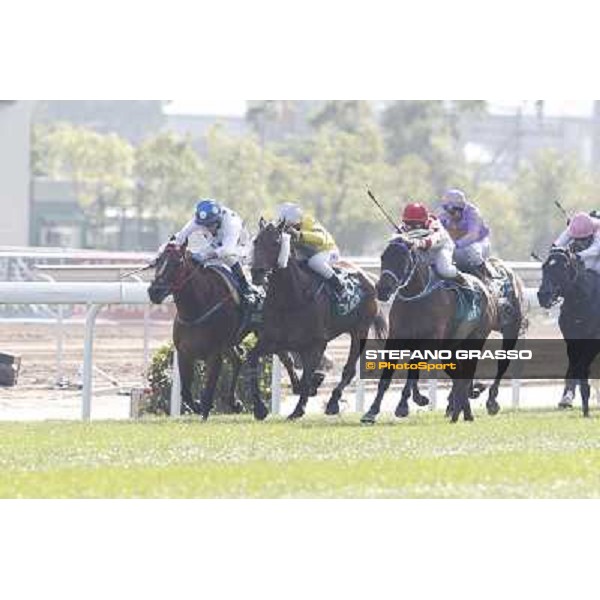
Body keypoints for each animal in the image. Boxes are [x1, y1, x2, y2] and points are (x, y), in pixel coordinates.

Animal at [146, 241, 304, 420]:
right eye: (158, 261)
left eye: (178, 263)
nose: (154, 291)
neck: (196, 309)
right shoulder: (184, 353)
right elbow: (186, 392)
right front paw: (198, 406)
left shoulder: (214, 354)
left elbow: (208, 390)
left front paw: (204, 411)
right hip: (231, 343)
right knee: (239, 359)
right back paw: (236, 403)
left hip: (265, 333)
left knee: (286, 358)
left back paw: (292, 390)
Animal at [250, 218, 386, 420]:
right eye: (256, 241)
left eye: (275, 243)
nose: (256, 273)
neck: (293, 297)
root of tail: (367, 276)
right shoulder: (273, 340)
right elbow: (257, 360)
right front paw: (259, 408)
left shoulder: (316, 343)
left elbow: (307, 375)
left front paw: (298, 409)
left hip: (359, 330)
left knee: (349, 369)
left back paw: (333, 402)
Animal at [360, 237, 496, 424]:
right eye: (383, 257)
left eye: (403, 259)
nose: (383, 290)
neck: (416, 298)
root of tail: (484, 288)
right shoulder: (396, 339)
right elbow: (389, 375)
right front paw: (371, 411)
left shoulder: (431, 341)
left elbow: (413, 367)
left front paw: (404, 405)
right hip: (452, 346)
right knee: (459, 375)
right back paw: (463, 411)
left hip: (476, 338)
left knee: (467, 372)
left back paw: (463, 410)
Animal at [536, 248, 600, 418]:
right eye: (544, 267)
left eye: (563, 268)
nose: (543, 295)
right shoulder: (572, 340)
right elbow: (576, 369)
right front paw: (575, 404)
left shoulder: (593, 340)